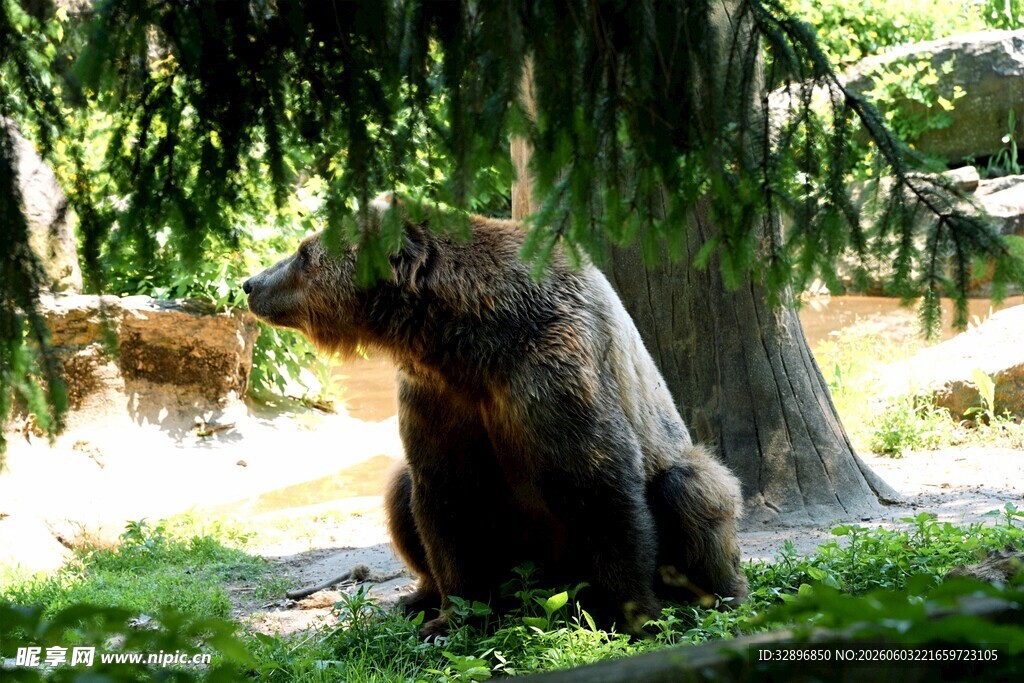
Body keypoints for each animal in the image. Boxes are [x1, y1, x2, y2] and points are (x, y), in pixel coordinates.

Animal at [243, 196, 748, 638]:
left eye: (304, 253)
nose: (251, 283)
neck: (468, 339)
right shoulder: (439, 397)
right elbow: (445, 498)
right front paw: (451, 618)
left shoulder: (552, 372)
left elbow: (600, 487)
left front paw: (632, 615)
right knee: (400, 491)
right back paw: (418, 597)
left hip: (676, 470)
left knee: (692, 490)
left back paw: (713, 595)